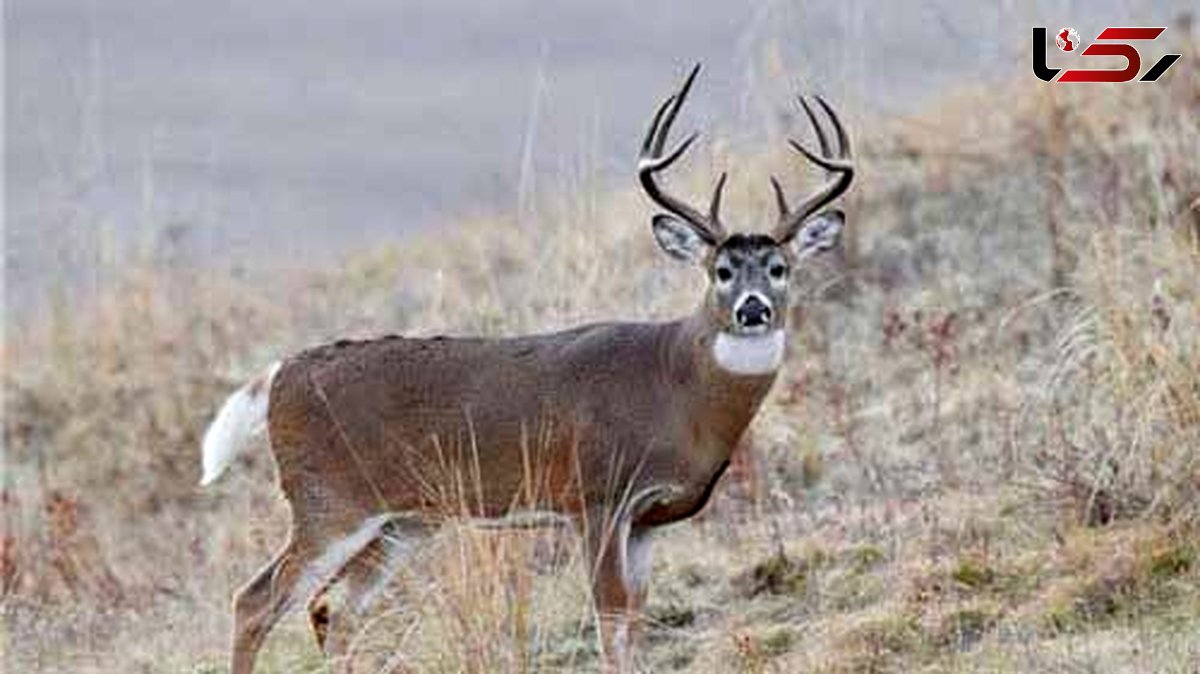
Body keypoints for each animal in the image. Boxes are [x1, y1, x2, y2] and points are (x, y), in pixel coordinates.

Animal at [199, 64, 854, 671]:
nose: (752, 309)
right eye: (721, 271)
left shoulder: (647, 519)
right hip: (327, 500)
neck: (679, 388)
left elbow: (635, 619)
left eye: (779, 269)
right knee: (255, 600)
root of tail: (276, 376)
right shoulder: (595, 494)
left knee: (334, 609)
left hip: (401, 522)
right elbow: (610, 619)